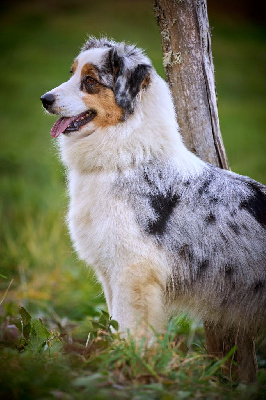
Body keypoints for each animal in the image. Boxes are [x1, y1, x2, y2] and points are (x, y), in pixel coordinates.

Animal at [40, 37, 266, 342]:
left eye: (90, 81)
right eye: (71, 73)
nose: (45, 99)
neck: (127, 159)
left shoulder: (133, 271)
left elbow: (129, 329)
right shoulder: (111, 270)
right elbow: (115, 323)